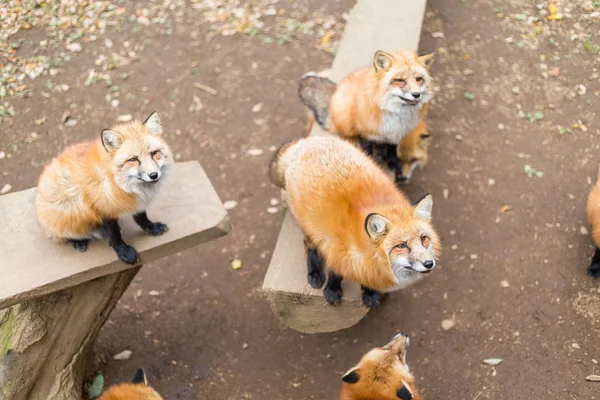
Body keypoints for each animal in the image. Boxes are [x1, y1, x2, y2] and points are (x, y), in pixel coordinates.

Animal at [35, 111, 171, 264]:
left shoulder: (136, 203)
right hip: (67, 215)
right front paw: (123, 252)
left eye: (154, 153)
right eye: (133, 160)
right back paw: (77, 241)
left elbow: (142, 218)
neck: (116, 182)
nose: (153, 175)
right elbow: (115, 235)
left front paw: (152, 228)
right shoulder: (102, 210)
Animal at [270, 136, 438, 308]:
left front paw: (369, 292)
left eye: (424, 239)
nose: (429, 263)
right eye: (401, 246)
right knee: (309, 246)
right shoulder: (337, 248)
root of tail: (308, 141)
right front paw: (332, 290)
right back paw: (314, 273)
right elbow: (335, 273)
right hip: (310, 224)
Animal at [298, 50, 432, 182]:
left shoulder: (397, 133)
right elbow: (368, 151)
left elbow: (393, 151)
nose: (416, 94)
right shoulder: (365, 132)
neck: (397, 116)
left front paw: (395, 165)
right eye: (399, 80)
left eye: (419, 79)